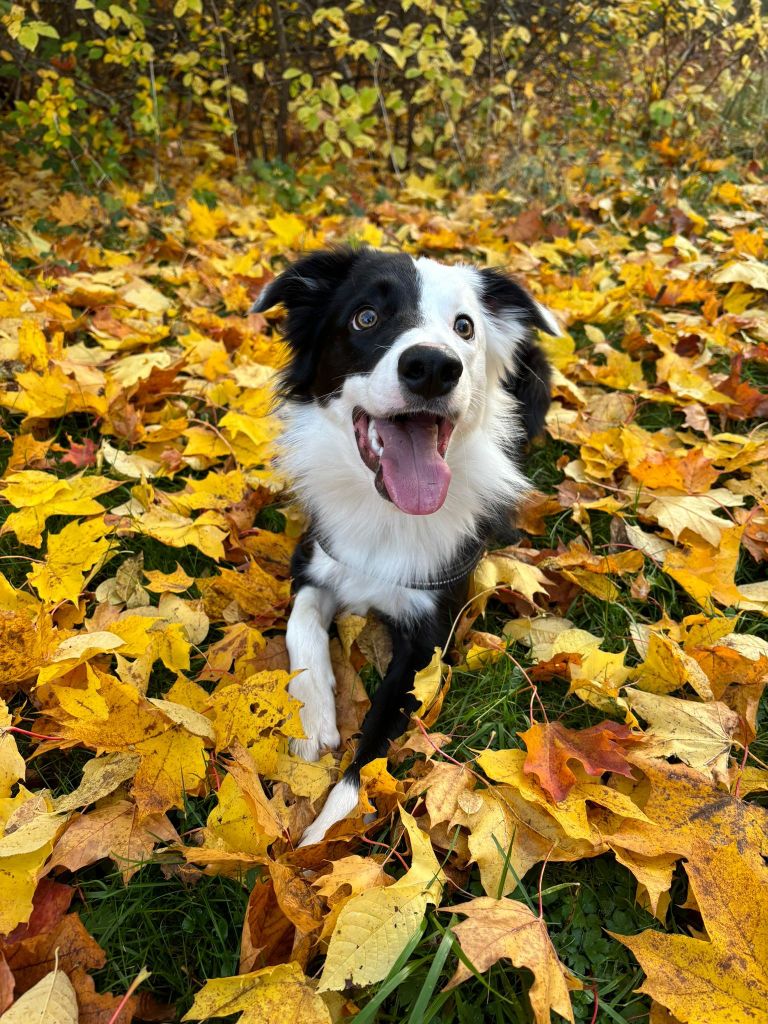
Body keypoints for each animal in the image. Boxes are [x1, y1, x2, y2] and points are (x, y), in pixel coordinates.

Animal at [252, 243, 561, 843]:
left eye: (464, 327)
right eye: (365, 317)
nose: (434, 368)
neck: (388, 514)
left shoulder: (428, 639)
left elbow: (365, 763)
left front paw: (321, 842)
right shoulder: (317, 555)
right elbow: (301, 622)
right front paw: (314, 718)